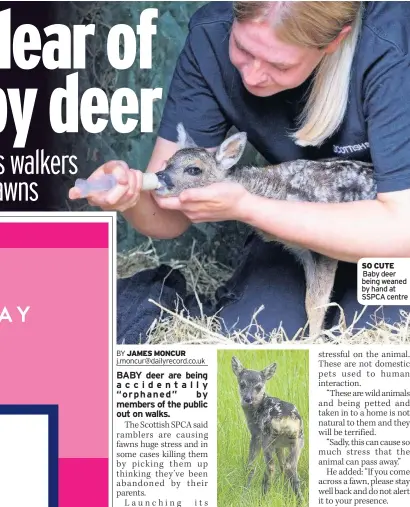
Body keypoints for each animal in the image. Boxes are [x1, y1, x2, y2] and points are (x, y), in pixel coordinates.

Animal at [153, 124, 374, 338]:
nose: (160, 176)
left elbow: (316, 303)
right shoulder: (305, 253)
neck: (276, 190)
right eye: (168, 162)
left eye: (194, 169)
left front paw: (314, 340)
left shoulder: (323, 249)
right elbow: (310, 301)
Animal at [231, 358, 304, 504]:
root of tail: (286, 419)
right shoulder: (280, 446)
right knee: (290, 466)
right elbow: (282, 464)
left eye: (259, 387)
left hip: (267, 438)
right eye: (242, 384)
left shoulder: (255, 435)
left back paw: (263, 497)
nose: (248, 399)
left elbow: (251, 465)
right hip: (298, 440)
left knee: (271, 466)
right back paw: (299, 500)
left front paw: (245, 490)